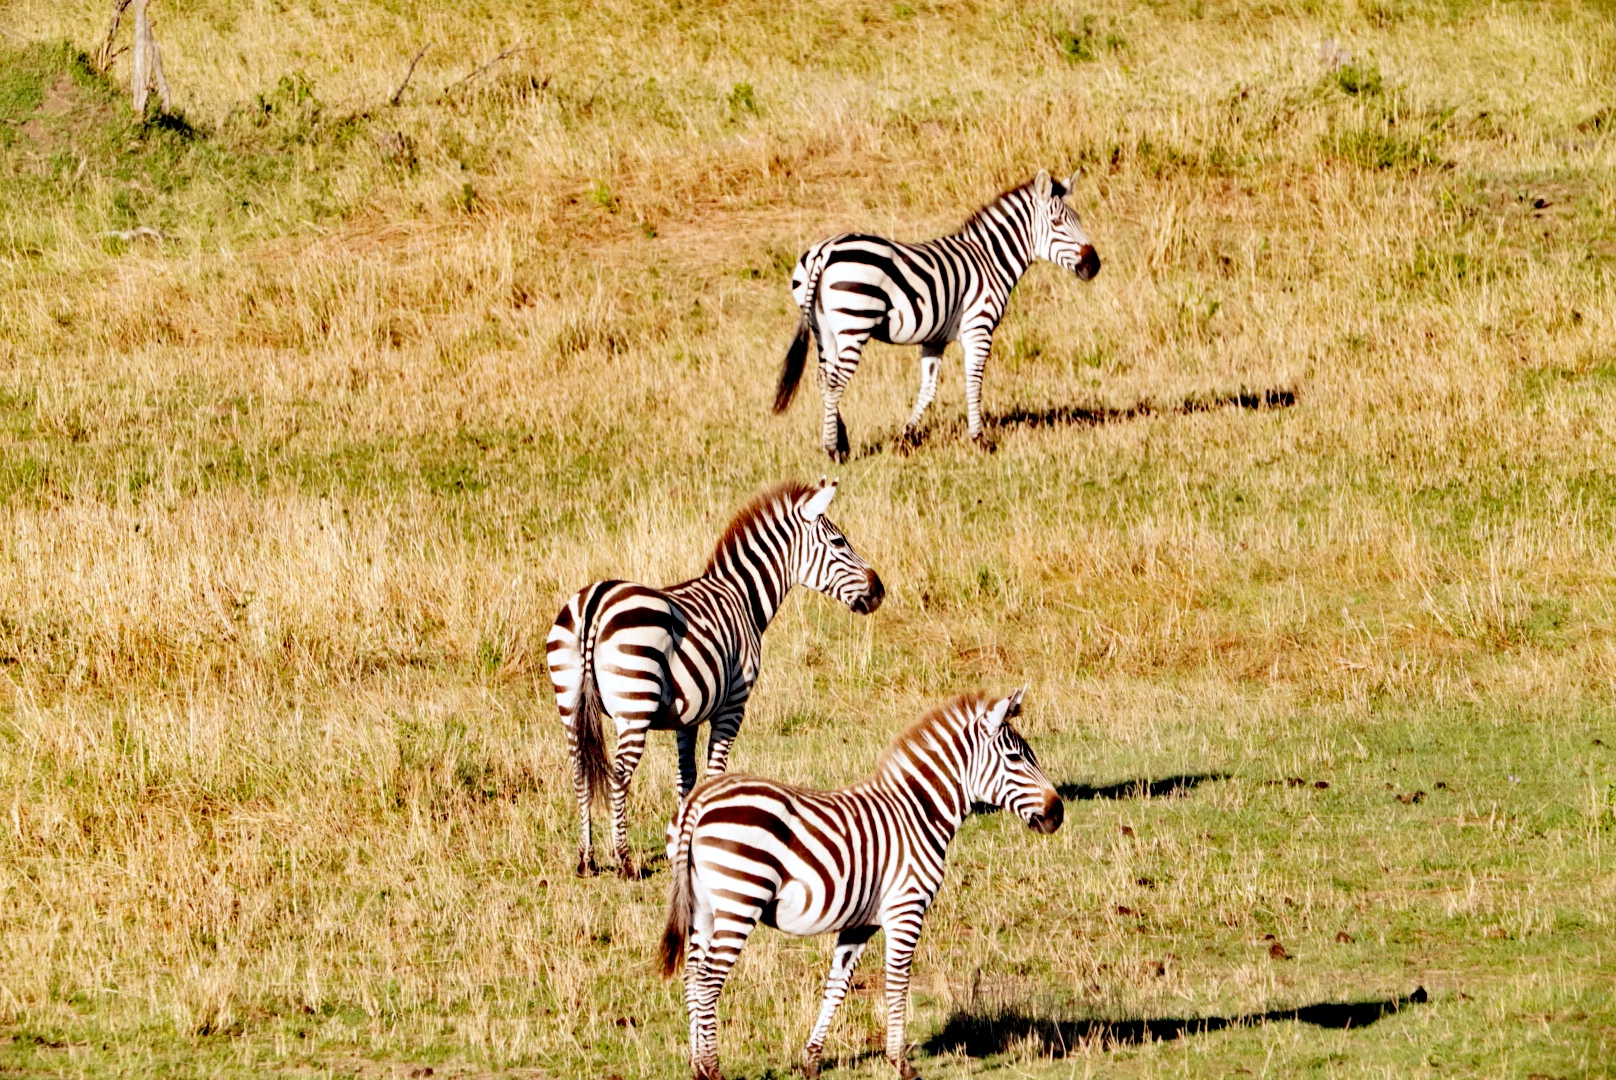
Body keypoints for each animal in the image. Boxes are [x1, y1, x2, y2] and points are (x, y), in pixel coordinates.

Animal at [549, 481, 892, 879]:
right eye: (839, 542)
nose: (879, 590)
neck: (744, 599)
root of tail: (595, 602)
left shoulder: (687, 716)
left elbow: (687, 776)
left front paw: (683, 840)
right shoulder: (733, 705)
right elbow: (714, 773)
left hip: (569, 701)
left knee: (579, 772)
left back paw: (585, 858)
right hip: (635, 705)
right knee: (618, 776)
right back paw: (624, 860)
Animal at [656, 691, 1060, 1080]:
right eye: (1015, 758)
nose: (1058, 814)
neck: (919, 814)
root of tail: (698, 801)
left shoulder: (859, 924)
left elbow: (837, 987)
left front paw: (811, 1060)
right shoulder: (906, 910)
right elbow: (897, 984)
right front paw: (901, 1063)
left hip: (703, 908)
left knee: (692, 976)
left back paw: (696, 1065)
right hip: (741, 899)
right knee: (709, 981)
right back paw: (712, 1068)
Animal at [769, 168, 1098, 459]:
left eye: (1079, 220)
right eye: (1057, 222)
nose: (1094, 265)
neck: (989, 259)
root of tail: (825, 251)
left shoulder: (934, 338)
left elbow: (928, 389)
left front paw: (905, 438)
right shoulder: (979, 329)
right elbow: (973, 383)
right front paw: (980, 440)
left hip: (823, 329)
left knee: (823, 378)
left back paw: (841, 440)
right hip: (854, 323)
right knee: (835, 382)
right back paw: (833, 450)